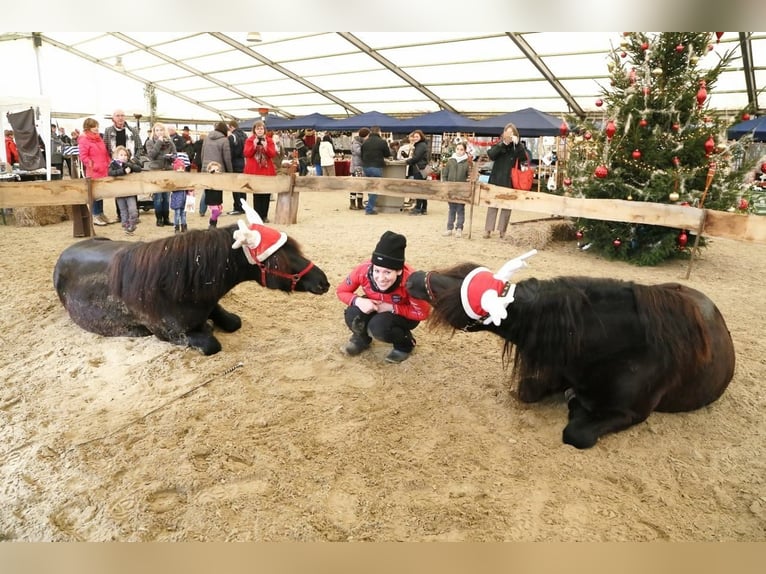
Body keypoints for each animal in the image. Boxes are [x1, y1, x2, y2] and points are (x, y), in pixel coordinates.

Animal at [53, 201, 330, 356]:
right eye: (279, 259)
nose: (323, 281)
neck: (175, 284)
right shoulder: (168, 333)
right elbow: (210, 343)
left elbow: (233, 321)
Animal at [408, 252, 736, 450]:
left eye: (455, 289)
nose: (413, 277)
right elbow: (528, 391)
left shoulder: (631, 413)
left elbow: (576, 432)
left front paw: (576, 405)